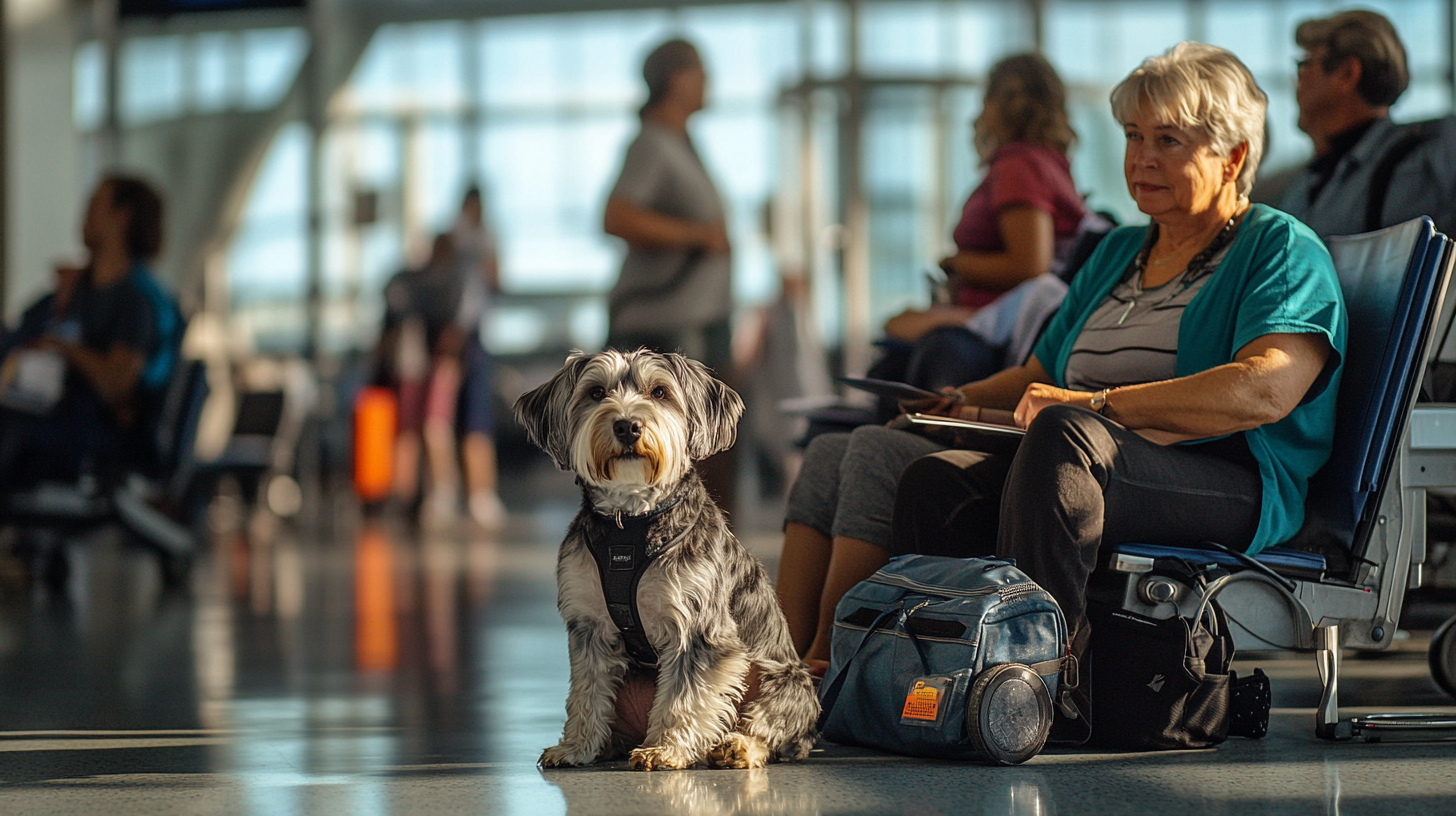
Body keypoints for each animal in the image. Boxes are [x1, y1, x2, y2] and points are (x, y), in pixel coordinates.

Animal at [515, 351, 821, 769]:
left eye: (659, 392)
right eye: (596, 392)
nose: (627, 425)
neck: (630, 523)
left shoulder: (698, 629)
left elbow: (683, 696)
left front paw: (665, 749)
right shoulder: (588, 627)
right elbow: (585, 691)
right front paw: (575, 746)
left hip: (783, 681)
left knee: (774, 730)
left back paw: (739, 746)